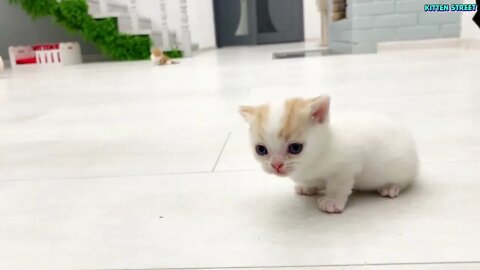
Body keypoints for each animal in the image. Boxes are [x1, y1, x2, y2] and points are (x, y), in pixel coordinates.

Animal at [238, 95, 418, 213]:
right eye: (261, 150)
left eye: (295, 148)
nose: (276, 165)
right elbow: (312, 182)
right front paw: (307, 187)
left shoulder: (347, 167)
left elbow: (338, 185)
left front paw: (332, 201)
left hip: (404, 166)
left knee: (405, 181)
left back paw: (390, 187)